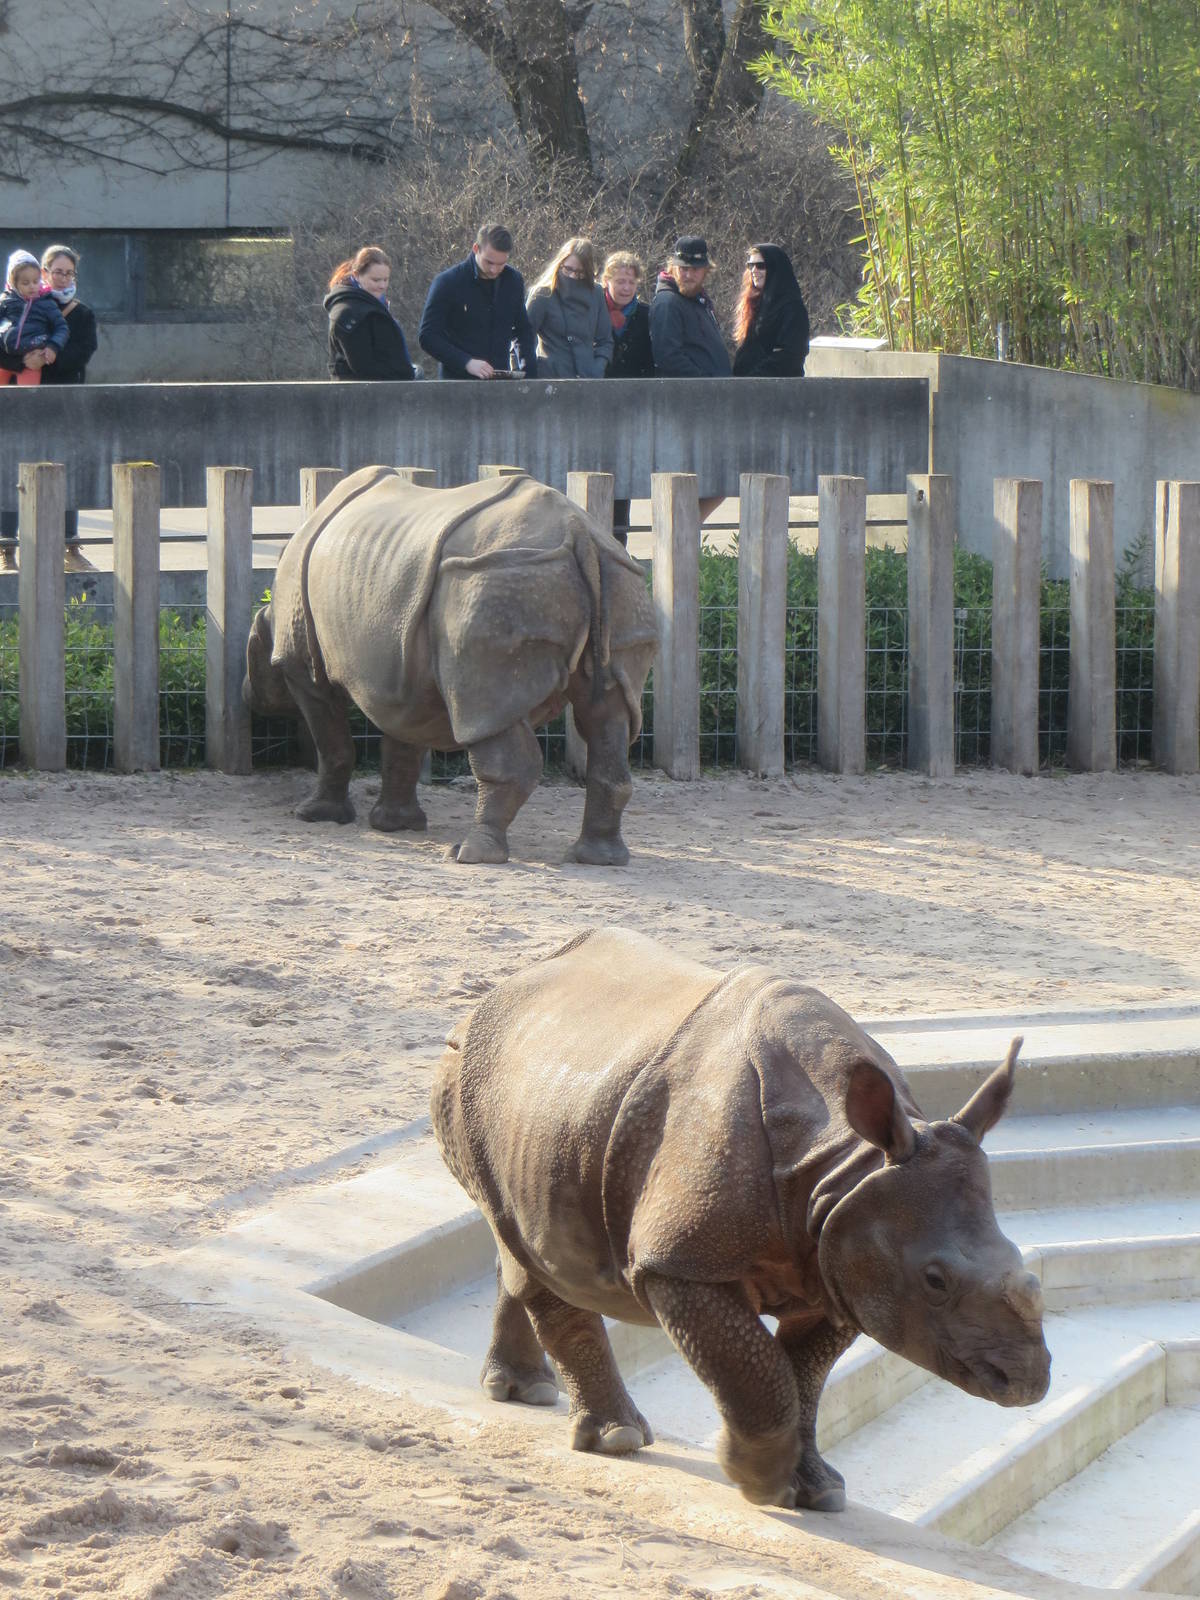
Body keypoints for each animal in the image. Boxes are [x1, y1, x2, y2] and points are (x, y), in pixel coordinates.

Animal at [243, 467, 657, 864]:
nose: (247, 695)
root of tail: (580, 534)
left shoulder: (303, 667)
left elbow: (332, 741)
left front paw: (314, 816)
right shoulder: (401, 674)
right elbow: (404, 742)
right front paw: (396, 826)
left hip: (495, 583)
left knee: (486, 707)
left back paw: (469, 854)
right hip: (620, 582)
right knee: (608, 718)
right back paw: (599, 859)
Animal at [432, 928, 1051, 1510]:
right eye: (935, 1281)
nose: (1026, 1381)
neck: (846, 1163)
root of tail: (497, 993)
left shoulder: (840, 1258)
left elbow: (803, 1377)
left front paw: (819, 1491)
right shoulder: (681, 1262)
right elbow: (758, 1370)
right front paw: (756, 1480)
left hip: (545, 1104)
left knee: (519, 1242)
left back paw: (523, 1391)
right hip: (470, 1081)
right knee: (522, 1245)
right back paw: (617, 1439)